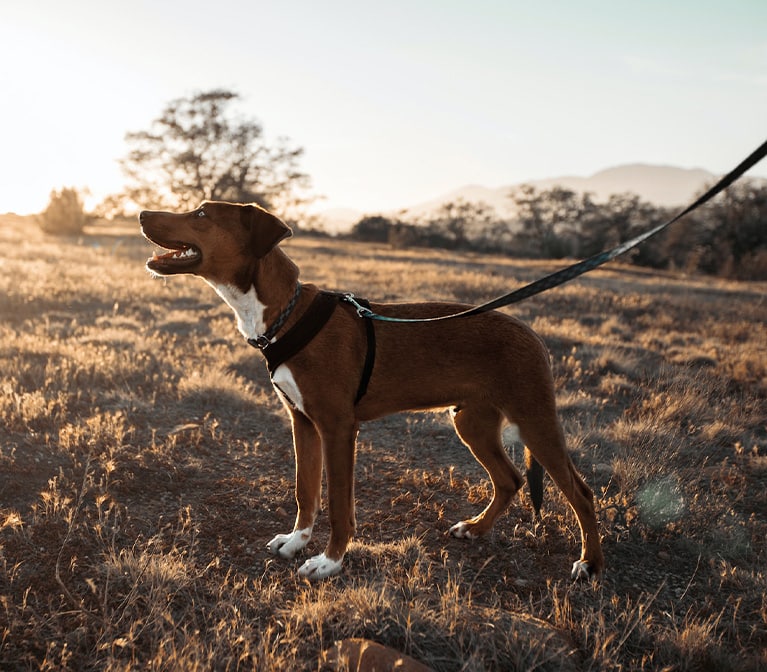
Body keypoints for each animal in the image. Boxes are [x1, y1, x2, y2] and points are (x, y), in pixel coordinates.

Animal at [140, 202, 608, 580]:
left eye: (202, 213)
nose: (142, 214)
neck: (285, 315)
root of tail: (532, 334)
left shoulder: (338, 428)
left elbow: (338, 503)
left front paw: (329, 562)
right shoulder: (302, 422)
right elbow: (305, 491)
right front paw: (297, 541)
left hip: (535, 420)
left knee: (581, 494)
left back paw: (590, 564)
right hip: (472, 422)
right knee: (509, 479)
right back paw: (476, 528)